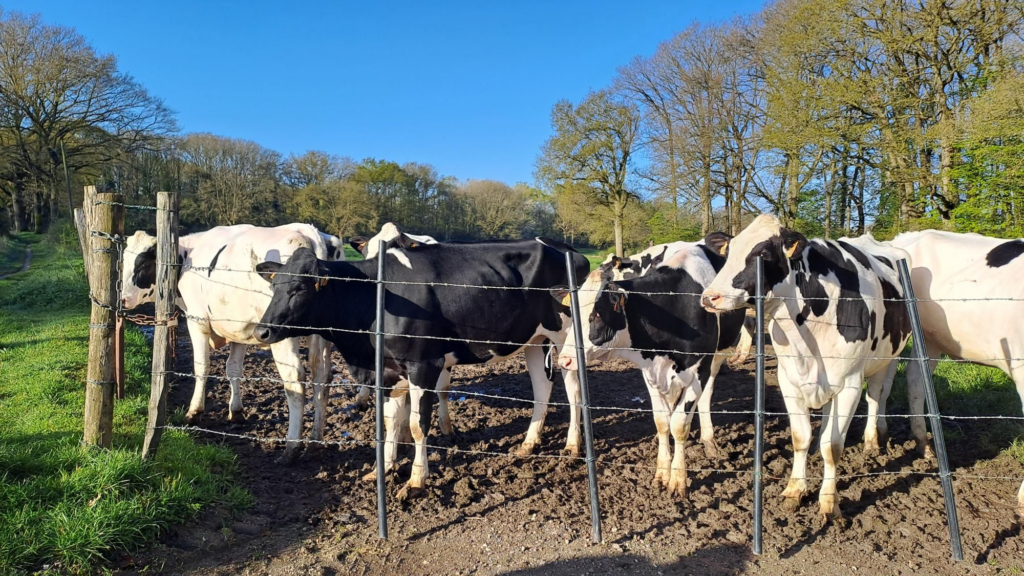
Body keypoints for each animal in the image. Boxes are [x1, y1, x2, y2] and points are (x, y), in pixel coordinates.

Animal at [121, 223, 345, 461]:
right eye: (124, 261)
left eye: (144, 263)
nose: (123, 299)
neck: (186, 258)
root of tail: (307, 231)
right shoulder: (240, 327)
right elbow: (234, 369)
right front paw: (236, 411)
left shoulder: (197, 320)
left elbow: (202, 367)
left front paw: (194, 412)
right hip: (323, 335)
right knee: (322, 376)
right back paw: (314, 442)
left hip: (281, 334)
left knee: (294, 379)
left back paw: (292, 447)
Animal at [252, 237, 590, 498]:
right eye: (274, 286)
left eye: (300, 288)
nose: (261, 332)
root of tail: (567, 248)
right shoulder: (388, 371)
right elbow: (391, 422)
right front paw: (383, 469)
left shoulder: (423, 365)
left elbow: (416, 425)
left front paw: (416, 481)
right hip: (534, 338)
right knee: (542, 387)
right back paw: (528, 444)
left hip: (566, 336)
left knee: (573, 388)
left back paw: (573, 446)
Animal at [552, 238, 745, 498]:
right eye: (572, 313)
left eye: (597, 314)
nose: (564, 360)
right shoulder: (650, 371)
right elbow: (663, 421)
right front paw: (662, 474)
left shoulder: (698, 370)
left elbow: (679, 425)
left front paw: (678, 480)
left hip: (719, 355)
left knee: (706, 395)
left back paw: (708, 439)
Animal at [700, 214, 911, 520]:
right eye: (728, 252)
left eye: (764, 254)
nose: (710, 297)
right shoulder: (789, 381)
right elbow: (801, 437)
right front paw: (794, 491)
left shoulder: (849, 384)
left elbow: (832, 447)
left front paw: (829, 503)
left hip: (889, 357)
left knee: (876, 395)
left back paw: (873, 439)